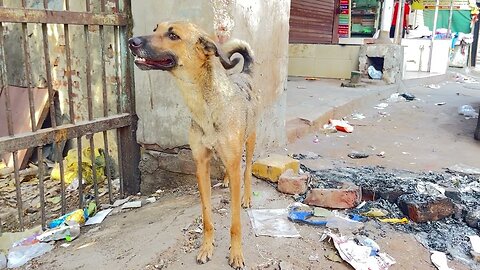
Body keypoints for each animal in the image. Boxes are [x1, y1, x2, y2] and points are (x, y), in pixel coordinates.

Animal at [127, 22, 256, 268]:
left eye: (173, 35)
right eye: (155, 28)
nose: (131, 41)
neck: (205, 103)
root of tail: (243, 75)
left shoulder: (234, 159)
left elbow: (235, 222)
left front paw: (236, 253)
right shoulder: (201, 164)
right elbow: (206, 216)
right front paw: (206, 247)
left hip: (250, 139)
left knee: (247, 170)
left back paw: (246, 198)